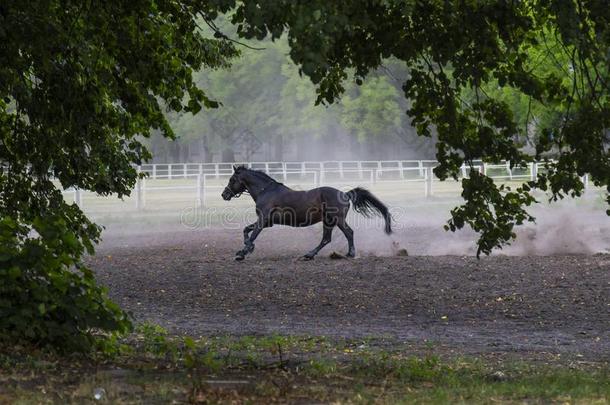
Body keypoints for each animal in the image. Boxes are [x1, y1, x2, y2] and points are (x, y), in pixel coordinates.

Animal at [221, 166, 392, 260]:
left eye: (232, 179)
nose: (224, 194)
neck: (266, 191)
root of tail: (344, 194)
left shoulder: (263, 220)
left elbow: (253, 234)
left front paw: (243, 252)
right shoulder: (268, 222)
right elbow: (246, 230)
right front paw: (247, 248)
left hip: (337, 219)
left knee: (348, 232)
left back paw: (350, 253)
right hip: (328, 221)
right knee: (326, 239)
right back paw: (309, 255)